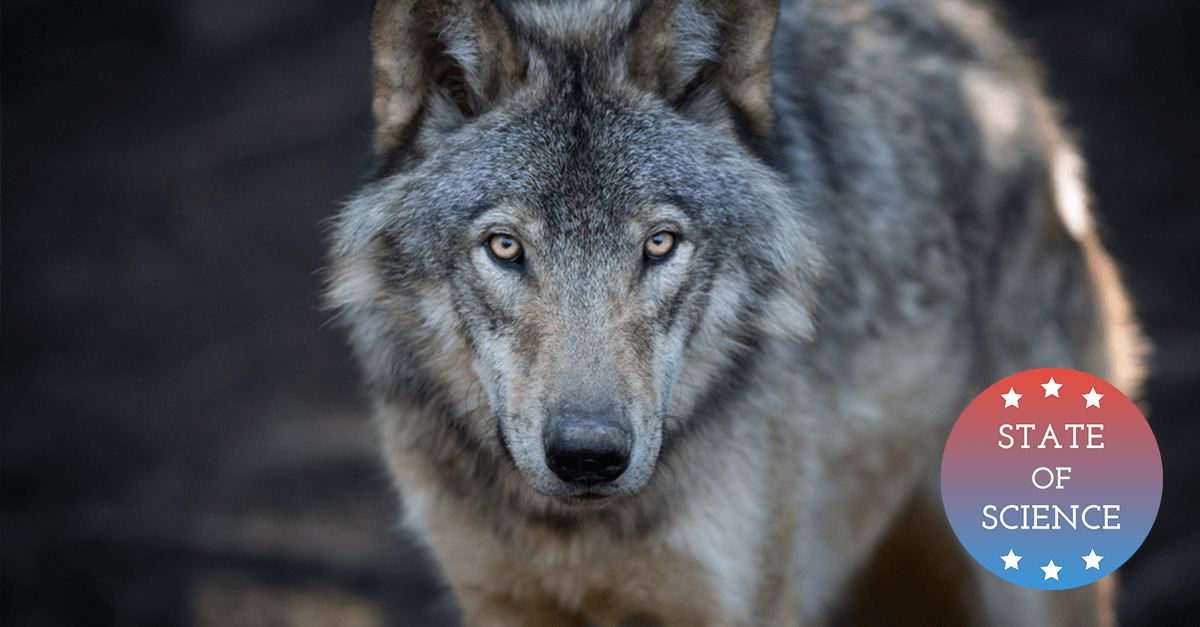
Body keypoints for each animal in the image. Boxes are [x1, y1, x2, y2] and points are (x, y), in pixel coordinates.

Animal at [325, 0, 1144, 625]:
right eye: (504, 246)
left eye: (660, 243)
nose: (588, 456)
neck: (574, 531)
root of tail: (994, 57)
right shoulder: (498, 598)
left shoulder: (739, 600)